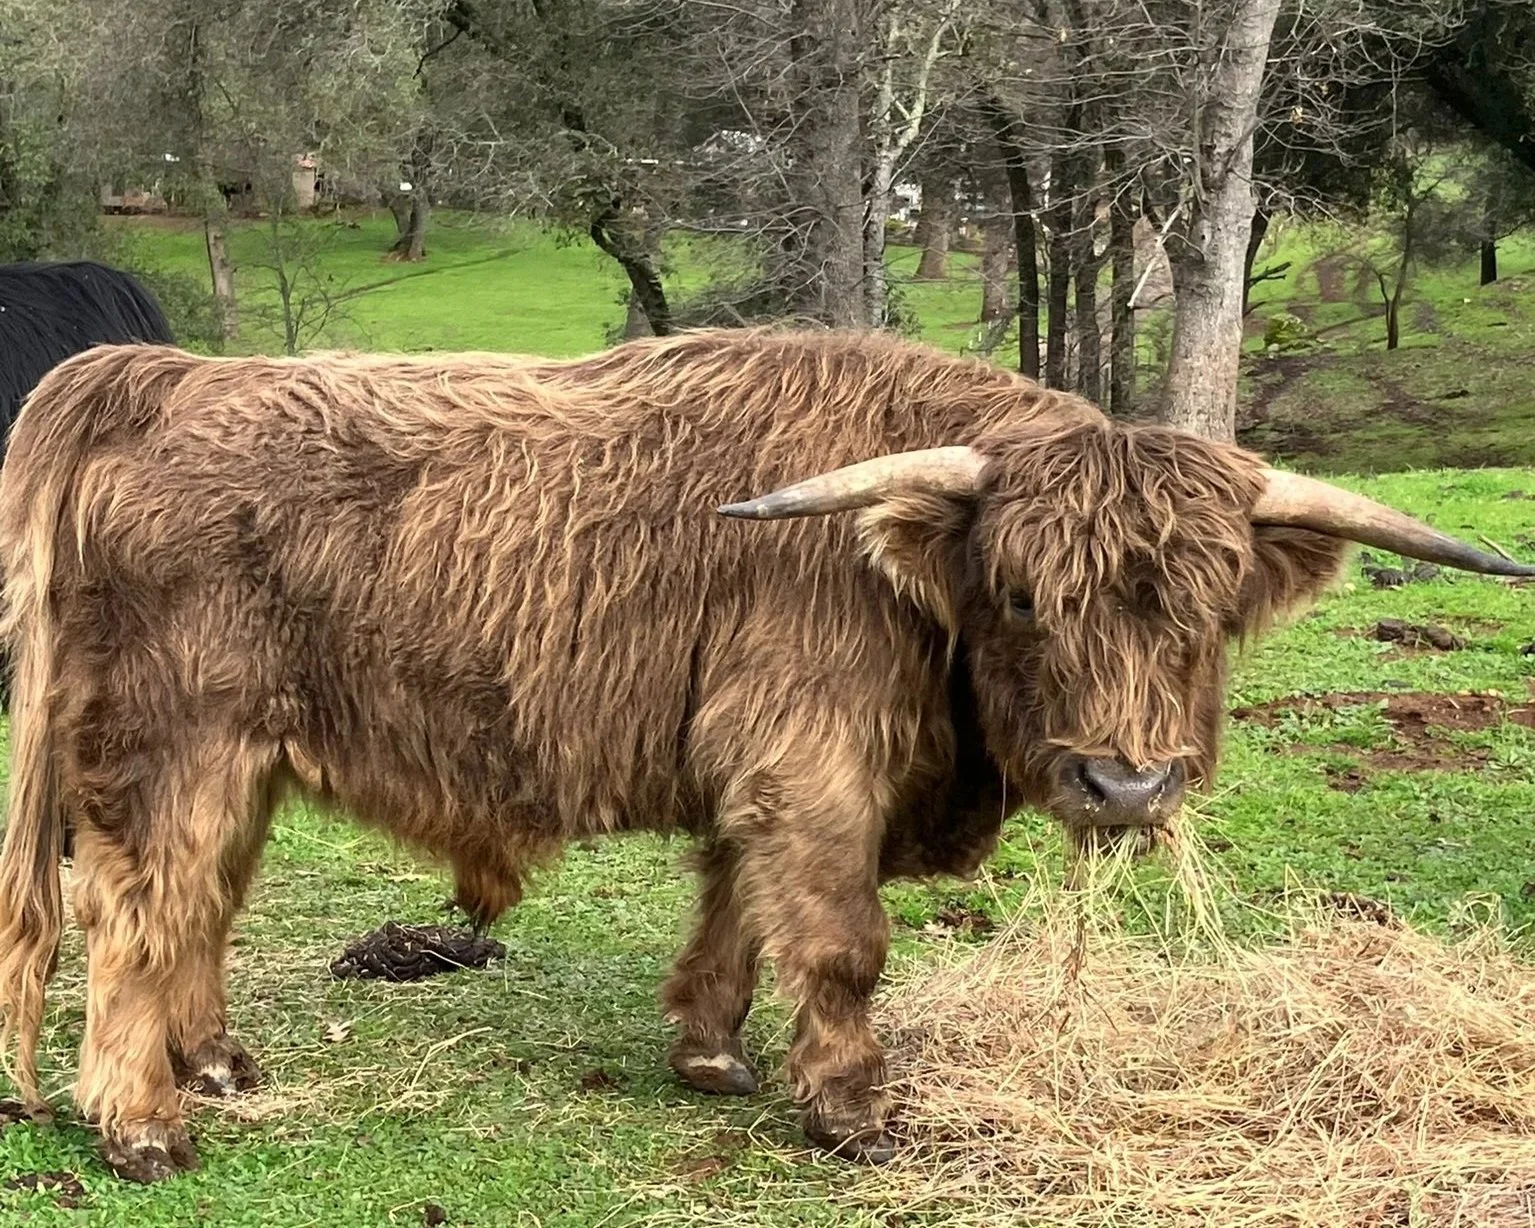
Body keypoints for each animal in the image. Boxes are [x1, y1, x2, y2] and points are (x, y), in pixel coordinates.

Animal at [0, 328, 1528, 1184]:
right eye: (1020, 596)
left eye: (1207, 611)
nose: (1125, 784)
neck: (902, 581)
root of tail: (161, 376)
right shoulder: (811, 759)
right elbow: (842, 938)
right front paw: (850, 1110)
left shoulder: (760, 768)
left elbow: (739, 905)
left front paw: (710, 1051)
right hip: (174, 743)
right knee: (136, 913)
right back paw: (141, 1125)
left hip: (244, 757)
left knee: (201, 904)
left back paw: (212, 1062)